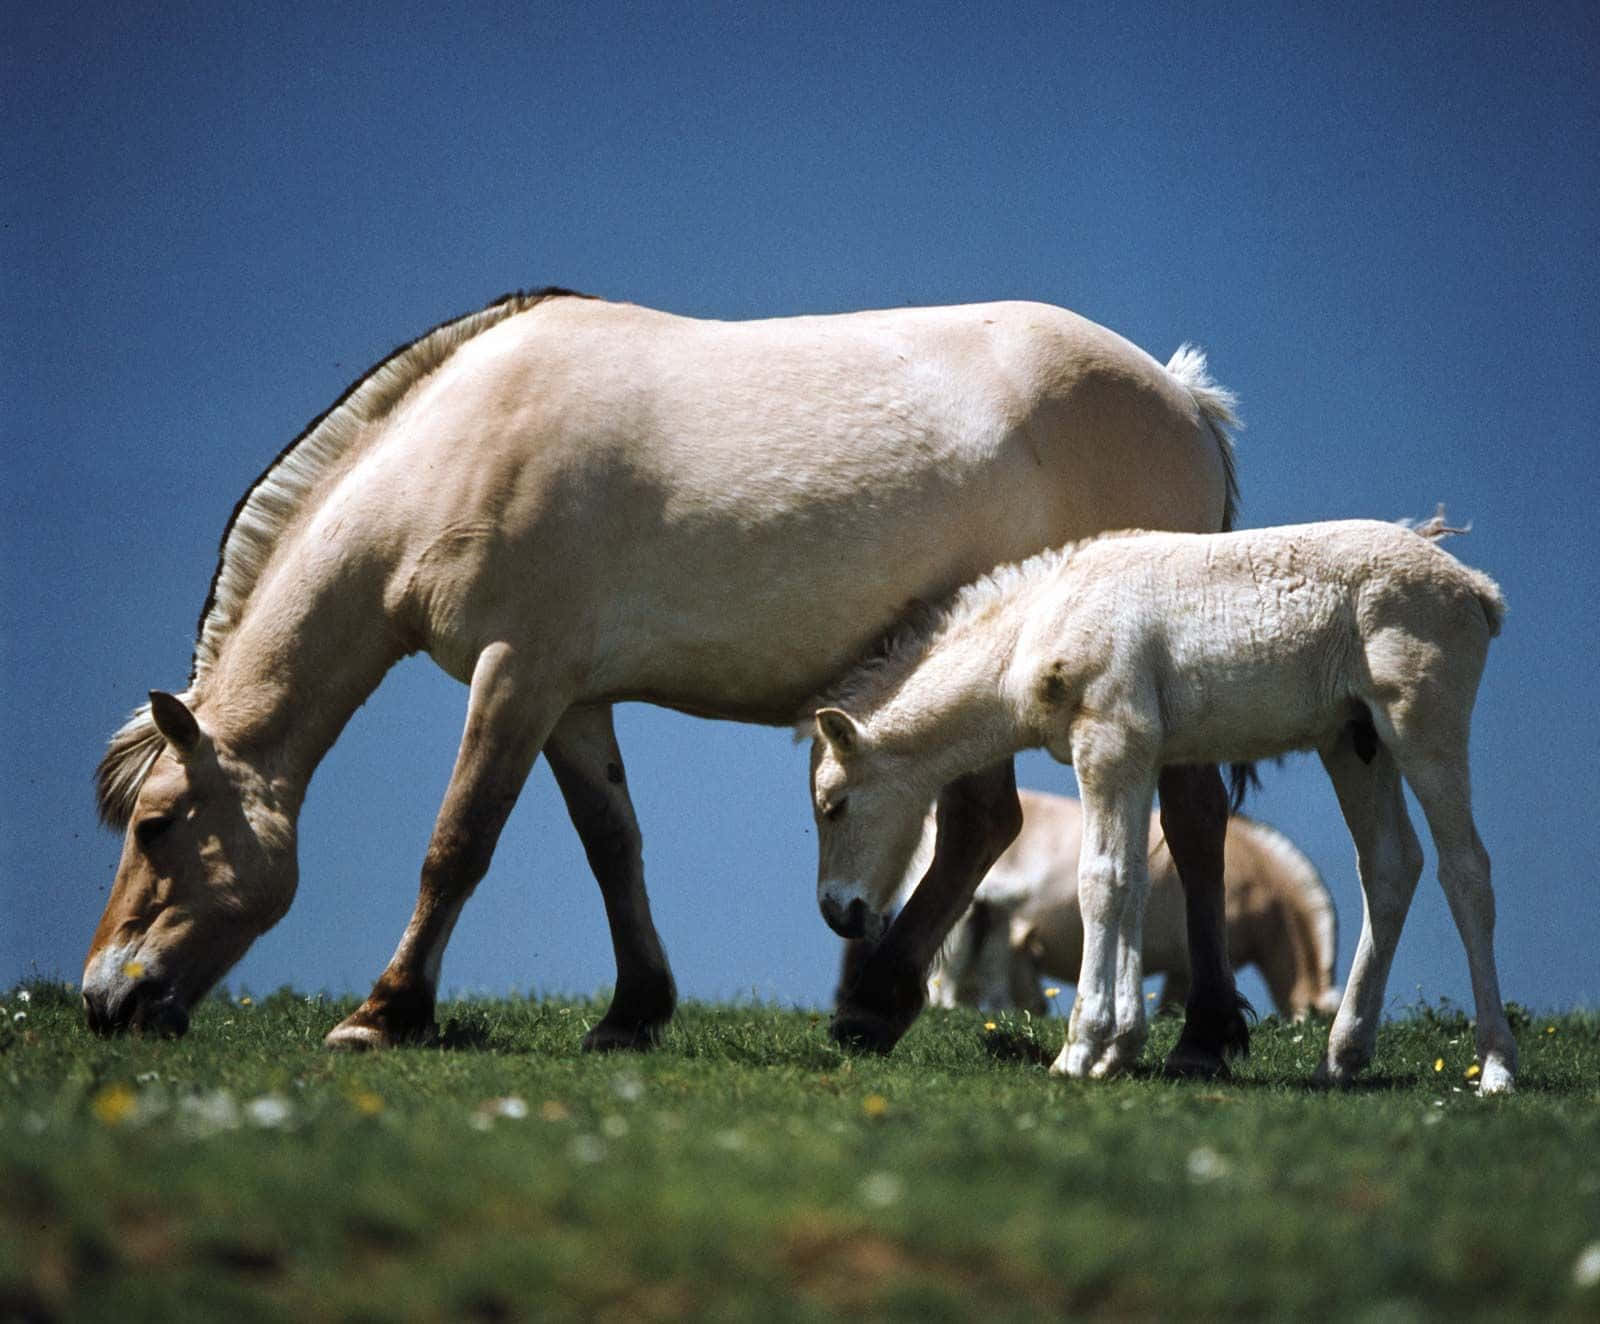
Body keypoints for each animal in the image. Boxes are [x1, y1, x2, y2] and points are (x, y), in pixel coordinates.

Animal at [85, 288, 1249, 1071]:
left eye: (155, 825)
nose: (102, 999)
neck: (456, 447)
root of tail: (1181, 394)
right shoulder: (570, 698)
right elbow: (612, 846)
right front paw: (632, 1009)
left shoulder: (515, 674)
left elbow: (458, 843)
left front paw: (385, 1011)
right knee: (982, 827)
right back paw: (878, 1004)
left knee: (1186, 826)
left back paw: (1203, 1034)